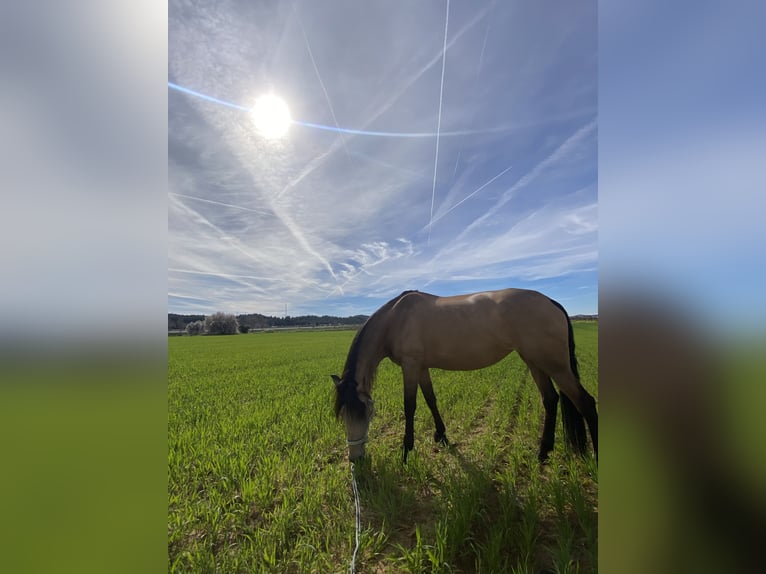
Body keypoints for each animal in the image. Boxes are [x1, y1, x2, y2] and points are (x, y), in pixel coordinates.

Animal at [332, 288, 600, 464]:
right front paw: (441, 435)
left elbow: (410, 406)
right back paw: (543, 453)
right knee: (550, 400)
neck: (396, 318)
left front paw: (407, 450)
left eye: (365, 414)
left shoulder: (410, 366)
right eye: (343, 415)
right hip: (534, 362)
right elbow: (431, 399)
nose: (355, 458)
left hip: (555, 366)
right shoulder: (421, 368)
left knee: (586, 403)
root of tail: (551, 302)